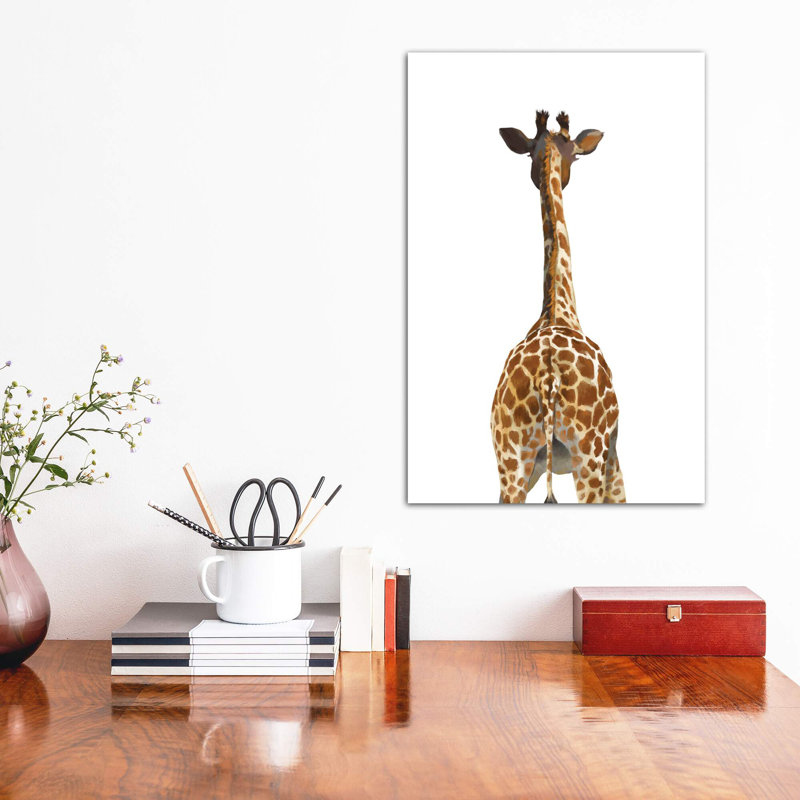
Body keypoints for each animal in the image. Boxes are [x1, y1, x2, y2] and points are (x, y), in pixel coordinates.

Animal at [491, 110, 626, 504]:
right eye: (576, 156)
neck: (559, 309)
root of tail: (548, 379)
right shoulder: (615, 455)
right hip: (589, 455)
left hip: (511, 463)